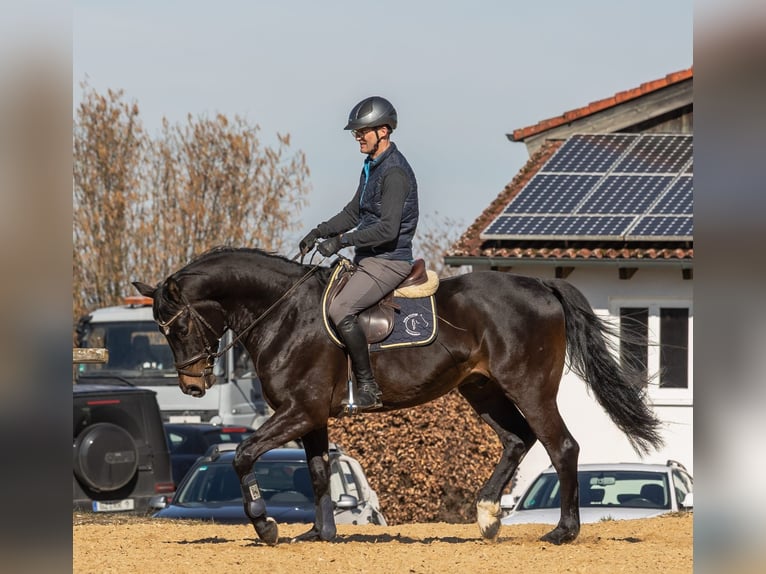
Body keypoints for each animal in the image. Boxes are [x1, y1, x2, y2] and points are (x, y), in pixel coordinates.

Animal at [133, 246, 663, 546]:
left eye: (177, 327)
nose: (192, 387)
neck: (285, 314)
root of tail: (540, 284)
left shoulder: (298, 411)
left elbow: (243, 454)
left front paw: (265, 526)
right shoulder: (311, 416)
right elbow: (319, 472)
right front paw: (321, 534)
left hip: (529, 388)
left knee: (561, 447)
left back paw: (562, 532)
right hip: (481, 388)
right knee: (517, 440)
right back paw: (487, 515)